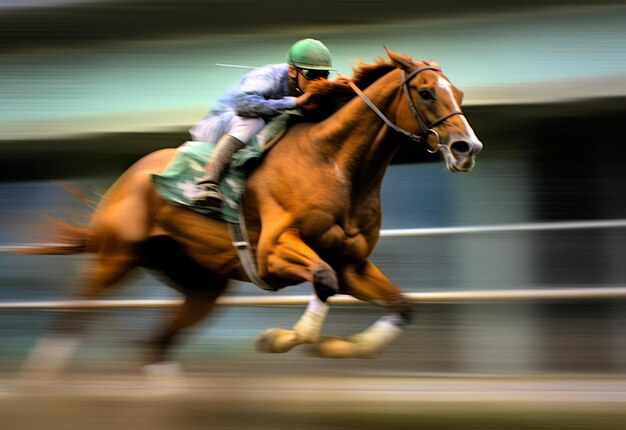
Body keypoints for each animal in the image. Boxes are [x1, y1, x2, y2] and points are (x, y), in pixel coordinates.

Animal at [18, 49, 478, 372]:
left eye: (458, 93)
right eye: (425, 92)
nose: (466, 148)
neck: (332, 162)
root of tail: (128, 176)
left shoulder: (353, 264)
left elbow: (402, 305)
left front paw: (342, 347)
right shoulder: (273, 251)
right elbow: (323, 281)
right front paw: (279, 338)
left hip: (201, 283)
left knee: (156, 344)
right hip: (113, 258)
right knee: (70, 322)